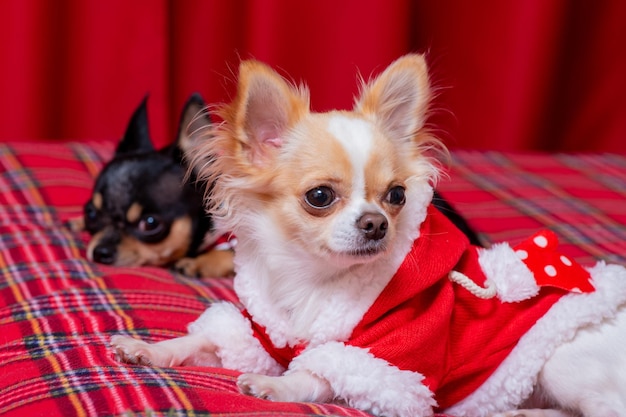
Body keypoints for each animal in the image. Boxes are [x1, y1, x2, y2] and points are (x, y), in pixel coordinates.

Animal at [109, 56, 620, 416]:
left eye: (396, 195)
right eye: (319, 196)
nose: (377, 222)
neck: (312, 280)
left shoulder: (394, 363)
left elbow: (320, 376)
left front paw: (276, 386)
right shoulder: (260, 339)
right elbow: (201, 342)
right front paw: (147, 348)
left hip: (561, 363)